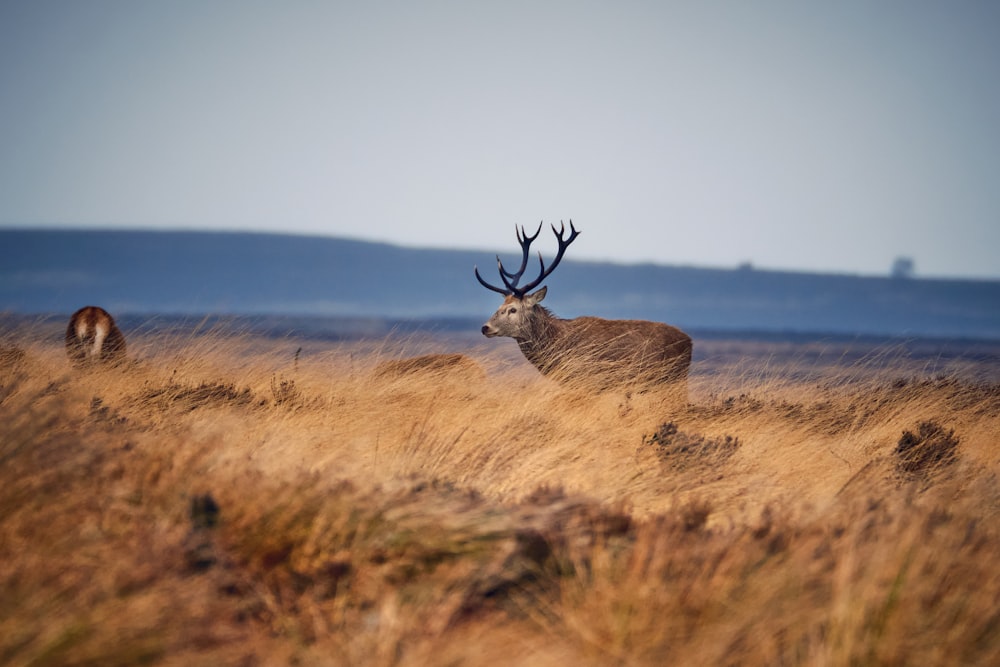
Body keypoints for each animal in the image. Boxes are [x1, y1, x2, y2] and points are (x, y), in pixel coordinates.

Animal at [474, 222, 692, 394]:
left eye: (513, 309)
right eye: (500, 305)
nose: (485, 327)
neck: (558, 345)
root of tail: (688, 341)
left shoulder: (587, 380)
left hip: (673, 379)